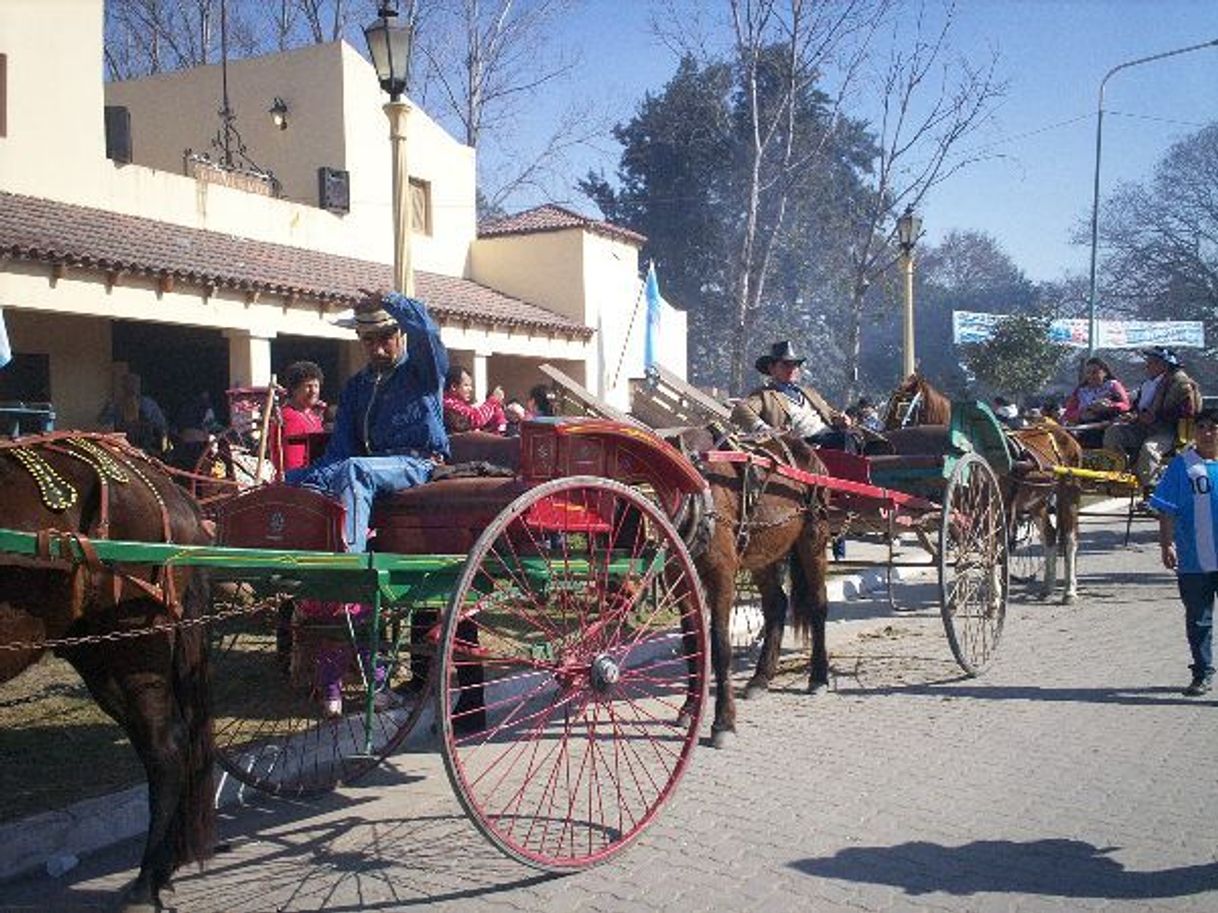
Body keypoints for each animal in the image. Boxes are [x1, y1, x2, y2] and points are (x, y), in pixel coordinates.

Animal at [0, 435, 214, 913]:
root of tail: (168, 489)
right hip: (100, 652)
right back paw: (159, 871)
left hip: (135, 640)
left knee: (166, 747)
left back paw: (146, 882)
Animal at [677, 428, 837, 749]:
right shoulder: (677, 576)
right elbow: (692, 641)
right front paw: (689, 708)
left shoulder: (721, 575)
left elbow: (720, 645)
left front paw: (723, 722)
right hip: (765, 552)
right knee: (776, 603)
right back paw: (761, 677)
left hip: (813, 540)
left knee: (818, 604)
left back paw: (818, 677)